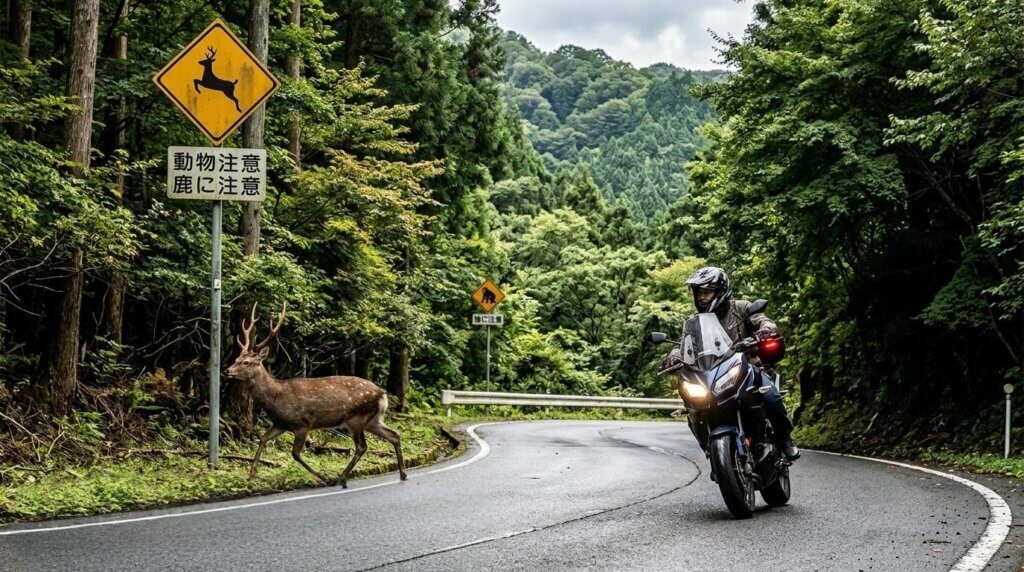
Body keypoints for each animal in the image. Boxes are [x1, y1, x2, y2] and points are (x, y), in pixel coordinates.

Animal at [225, 303, 407, 487]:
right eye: (237, 358)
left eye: (246, 362)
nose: (227, 371)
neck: (277, 398)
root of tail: (383, 396)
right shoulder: (280, 424)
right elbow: (263, 439)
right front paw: (251, 475)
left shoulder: (302, 424)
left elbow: (295, 453)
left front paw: (323, 477)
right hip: (372, 420)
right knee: (394, 435)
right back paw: (402, 473)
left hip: (357, 418)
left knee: (362, 446)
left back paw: (341, 478)